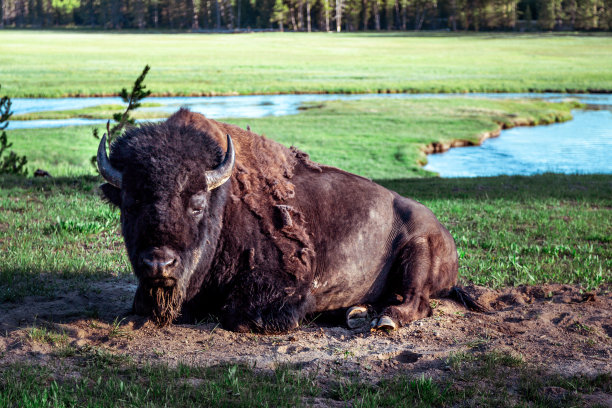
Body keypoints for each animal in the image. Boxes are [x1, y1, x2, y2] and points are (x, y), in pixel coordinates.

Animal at [97, 107, 478, 332]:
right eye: (130, 203)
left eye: (197, 205)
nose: (159, 263)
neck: (225, 201)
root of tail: (445, 234)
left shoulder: (282, 287)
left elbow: (239, 315)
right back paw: (355, 312)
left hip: (418, 251)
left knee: (415, 302)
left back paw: (382, 320)